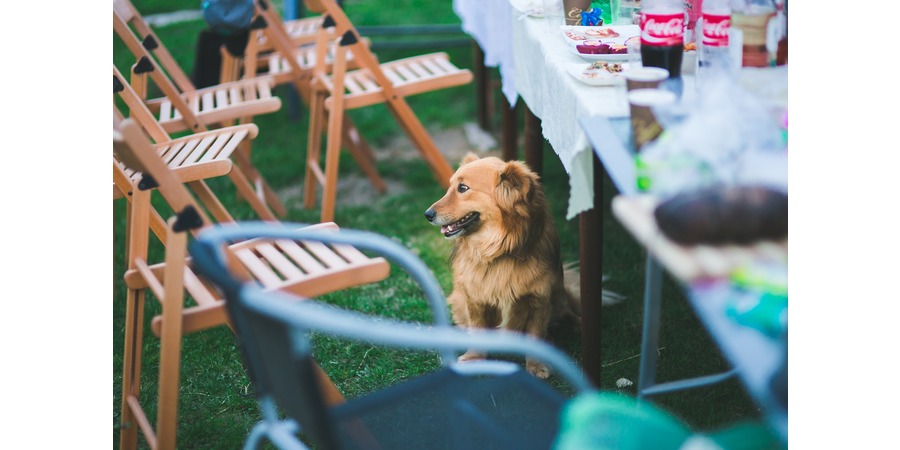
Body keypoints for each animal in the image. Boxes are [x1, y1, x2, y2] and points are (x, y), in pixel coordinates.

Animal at [428, 153, 584, 378]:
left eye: (463, 188)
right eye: (450, 187)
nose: (427, 214)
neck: (498, 250)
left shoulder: (539, 300)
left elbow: (536, 334)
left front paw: (536, 365)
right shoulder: (475, 299)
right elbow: (477, 329)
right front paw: (474, 358)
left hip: (558, 295)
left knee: (566, 310)